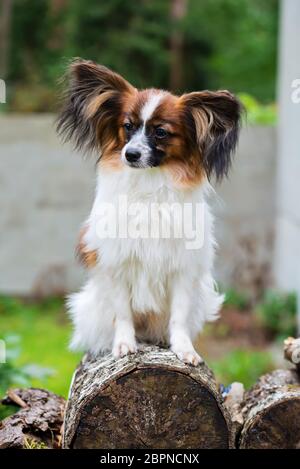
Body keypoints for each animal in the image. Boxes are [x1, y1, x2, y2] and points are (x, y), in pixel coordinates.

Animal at [57, 59, 243, 366]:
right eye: (127, 126)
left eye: (161, 132)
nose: (130, 154)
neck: (150, 185)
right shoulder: (117, 264)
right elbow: (122, 314)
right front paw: (123, 344)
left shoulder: (182, 269)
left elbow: (179, 317)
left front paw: (184, 348)